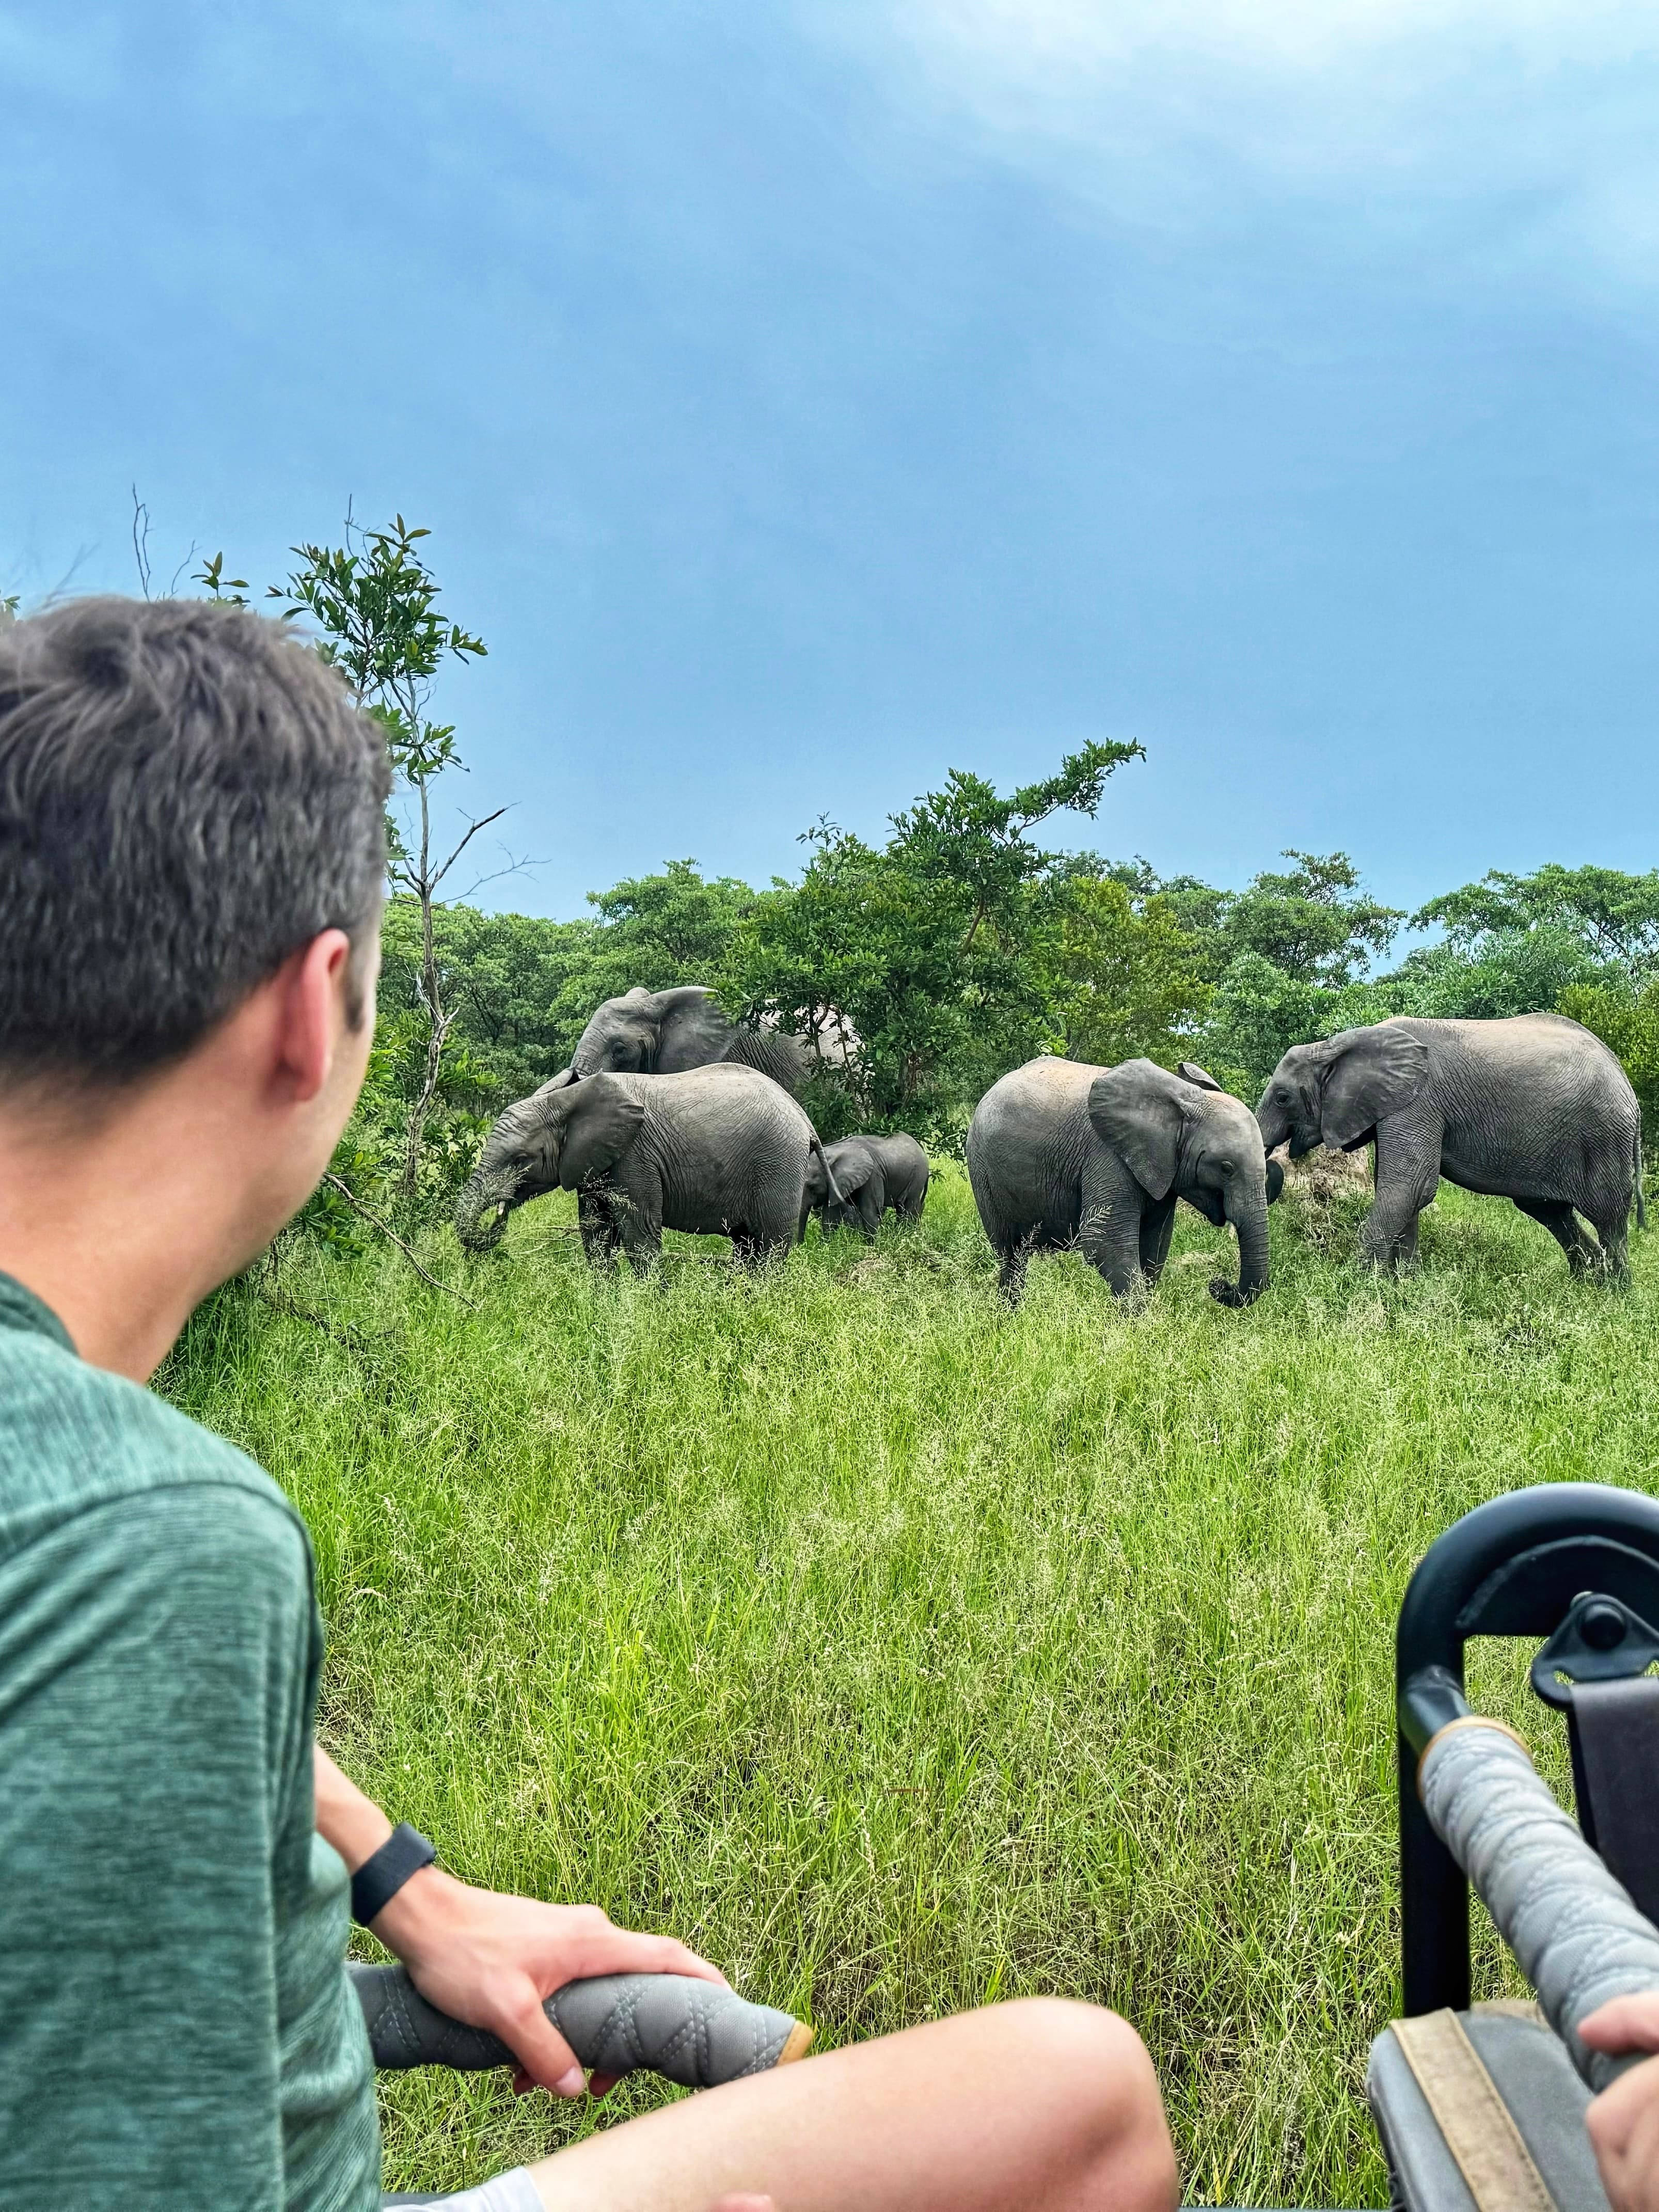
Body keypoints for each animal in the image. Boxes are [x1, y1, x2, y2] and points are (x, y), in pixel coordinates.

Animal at [454, 1063, 832, 1269]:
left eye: (521, 1160)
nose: (499, 1214)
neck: (564, 1101)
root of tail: (802, 1115)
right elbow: (595, 1235)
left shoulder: (634, 1157)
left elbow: (639, 1234)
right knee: (746, 1245)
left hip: (778, 1163)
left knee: (770, 1245)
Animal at [800, 1132, 931, 1240]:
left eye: (812, 1187)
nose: (800, 1246)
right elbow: (830, 1216)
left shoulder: (873, 1175)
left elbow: (869, 1211)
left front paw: (873, 1246)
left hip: (918, 1176)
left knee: (909, 1208)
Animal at [966, 1055, 1281, 1307]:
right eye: (1227, 1168)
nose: (1218, 1285)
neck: (1186, 1102)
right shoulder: (1108, 1156)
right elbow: (1106, 1244)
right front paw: (1139, 1328)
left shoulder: (1162, 1171)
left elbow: (1154, 1247)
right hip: (982, 1170)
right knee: (1010, 1254)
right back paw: (1011, 1315)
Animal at [1254, 1013, 1645, 1278]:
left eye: (1283, 1098)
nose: (1276, 1164)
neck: (1333, 1045)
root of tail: (1623, 1075)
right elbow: (1405, 1192)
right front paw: (1402, 1283)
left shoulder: (1419, 1102)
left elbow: (1409, 1188)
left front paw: (1361, 1284)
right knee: (1549, 1211)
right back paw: (1588, 1284)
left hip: (1605, 1137)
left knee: (1608, 1217)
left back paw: (1615, 1295)